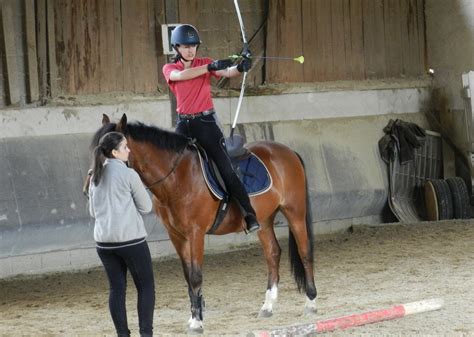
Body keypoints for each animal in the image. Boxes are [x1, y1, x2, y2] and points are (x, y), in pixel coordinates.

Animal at [88, 114, 318, 332]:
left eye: (106, 151)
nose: (92, 180)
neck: (177, 177)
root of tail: (287, 151)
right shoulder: (176, 236)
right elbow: (188, 277)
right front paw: (194, 317)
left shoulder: (195, 233)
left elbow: (196, 276)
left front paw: (197, 323)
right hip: (264, 219)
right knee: (272, 253)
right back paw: (268, 306)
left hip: (295, 212)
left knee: (305, 252)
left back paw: (311, 302)